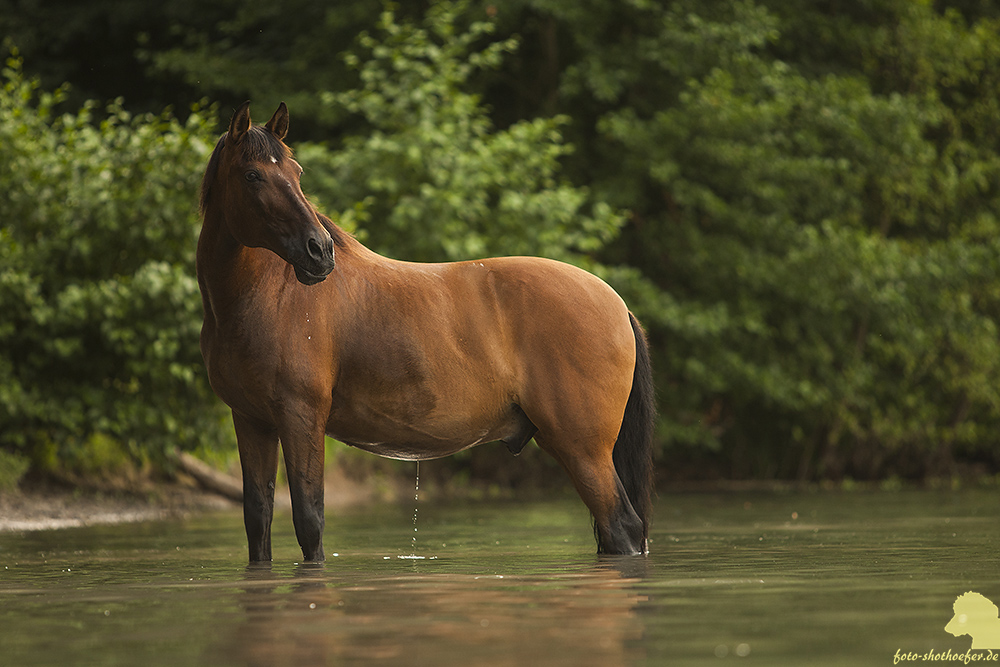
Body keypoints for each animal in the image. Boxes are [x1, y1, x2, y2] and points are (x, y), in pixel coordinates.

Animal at [197, 103, 656, 564]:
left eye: (296, 171)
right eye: (253, 175)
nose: (320, 251)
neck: (267, 297)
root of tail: (618, 305)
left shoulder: (300, 418)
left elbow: (310, 521)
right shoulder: (252, 421)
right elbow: (258, 519)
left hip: (584, 451)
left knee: (622, 526)